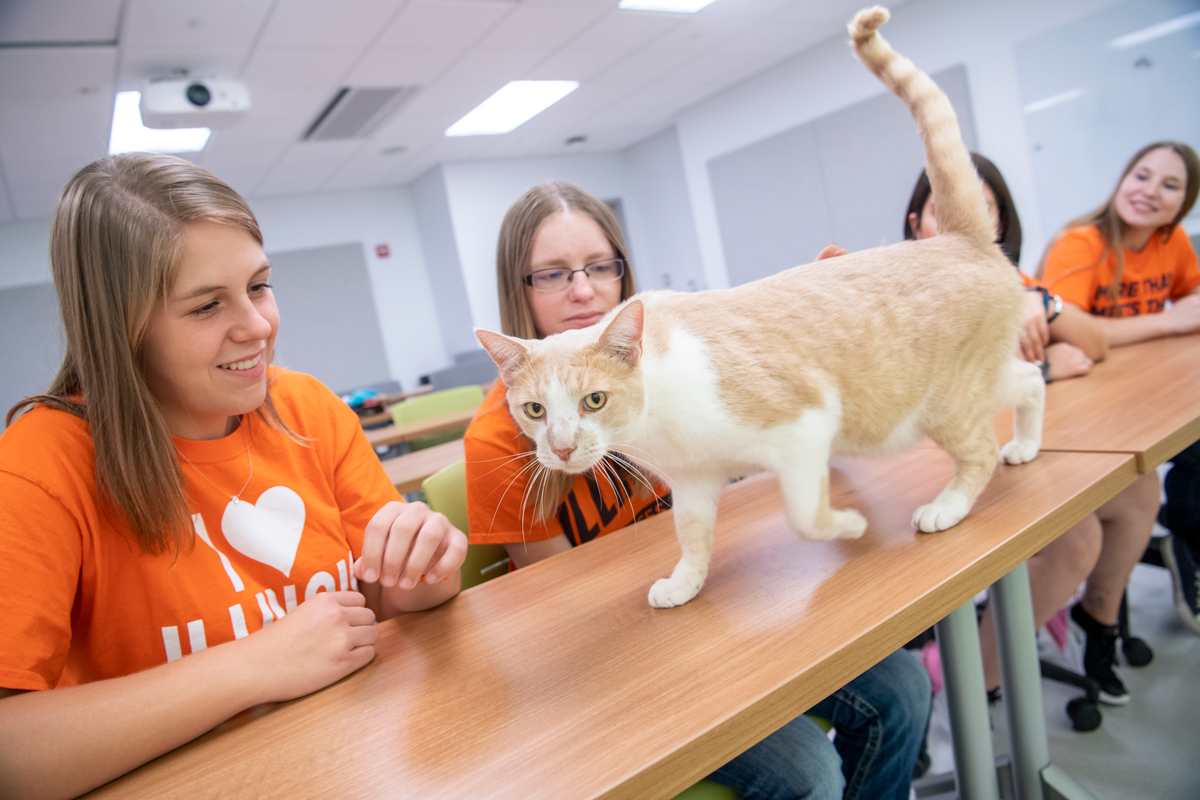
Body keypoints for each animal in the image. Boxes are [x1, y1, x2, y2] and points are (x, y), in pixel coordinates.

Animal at [472, 6, 1046, 609]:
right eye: (535, 411)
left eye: (594, 401)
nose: (560, 450)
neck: (659, 419)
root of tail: (959, 237)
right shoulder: (695, 483)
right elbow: (692, 535)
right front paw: (685, 583)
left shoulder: (804, 426)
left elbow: (804, 516)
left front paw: (849, 525)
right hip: (966, 388)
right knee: (1031, 377)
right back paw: (1028, 444)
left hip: (945, 402)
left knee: (980, 449)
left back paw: (948, 506)